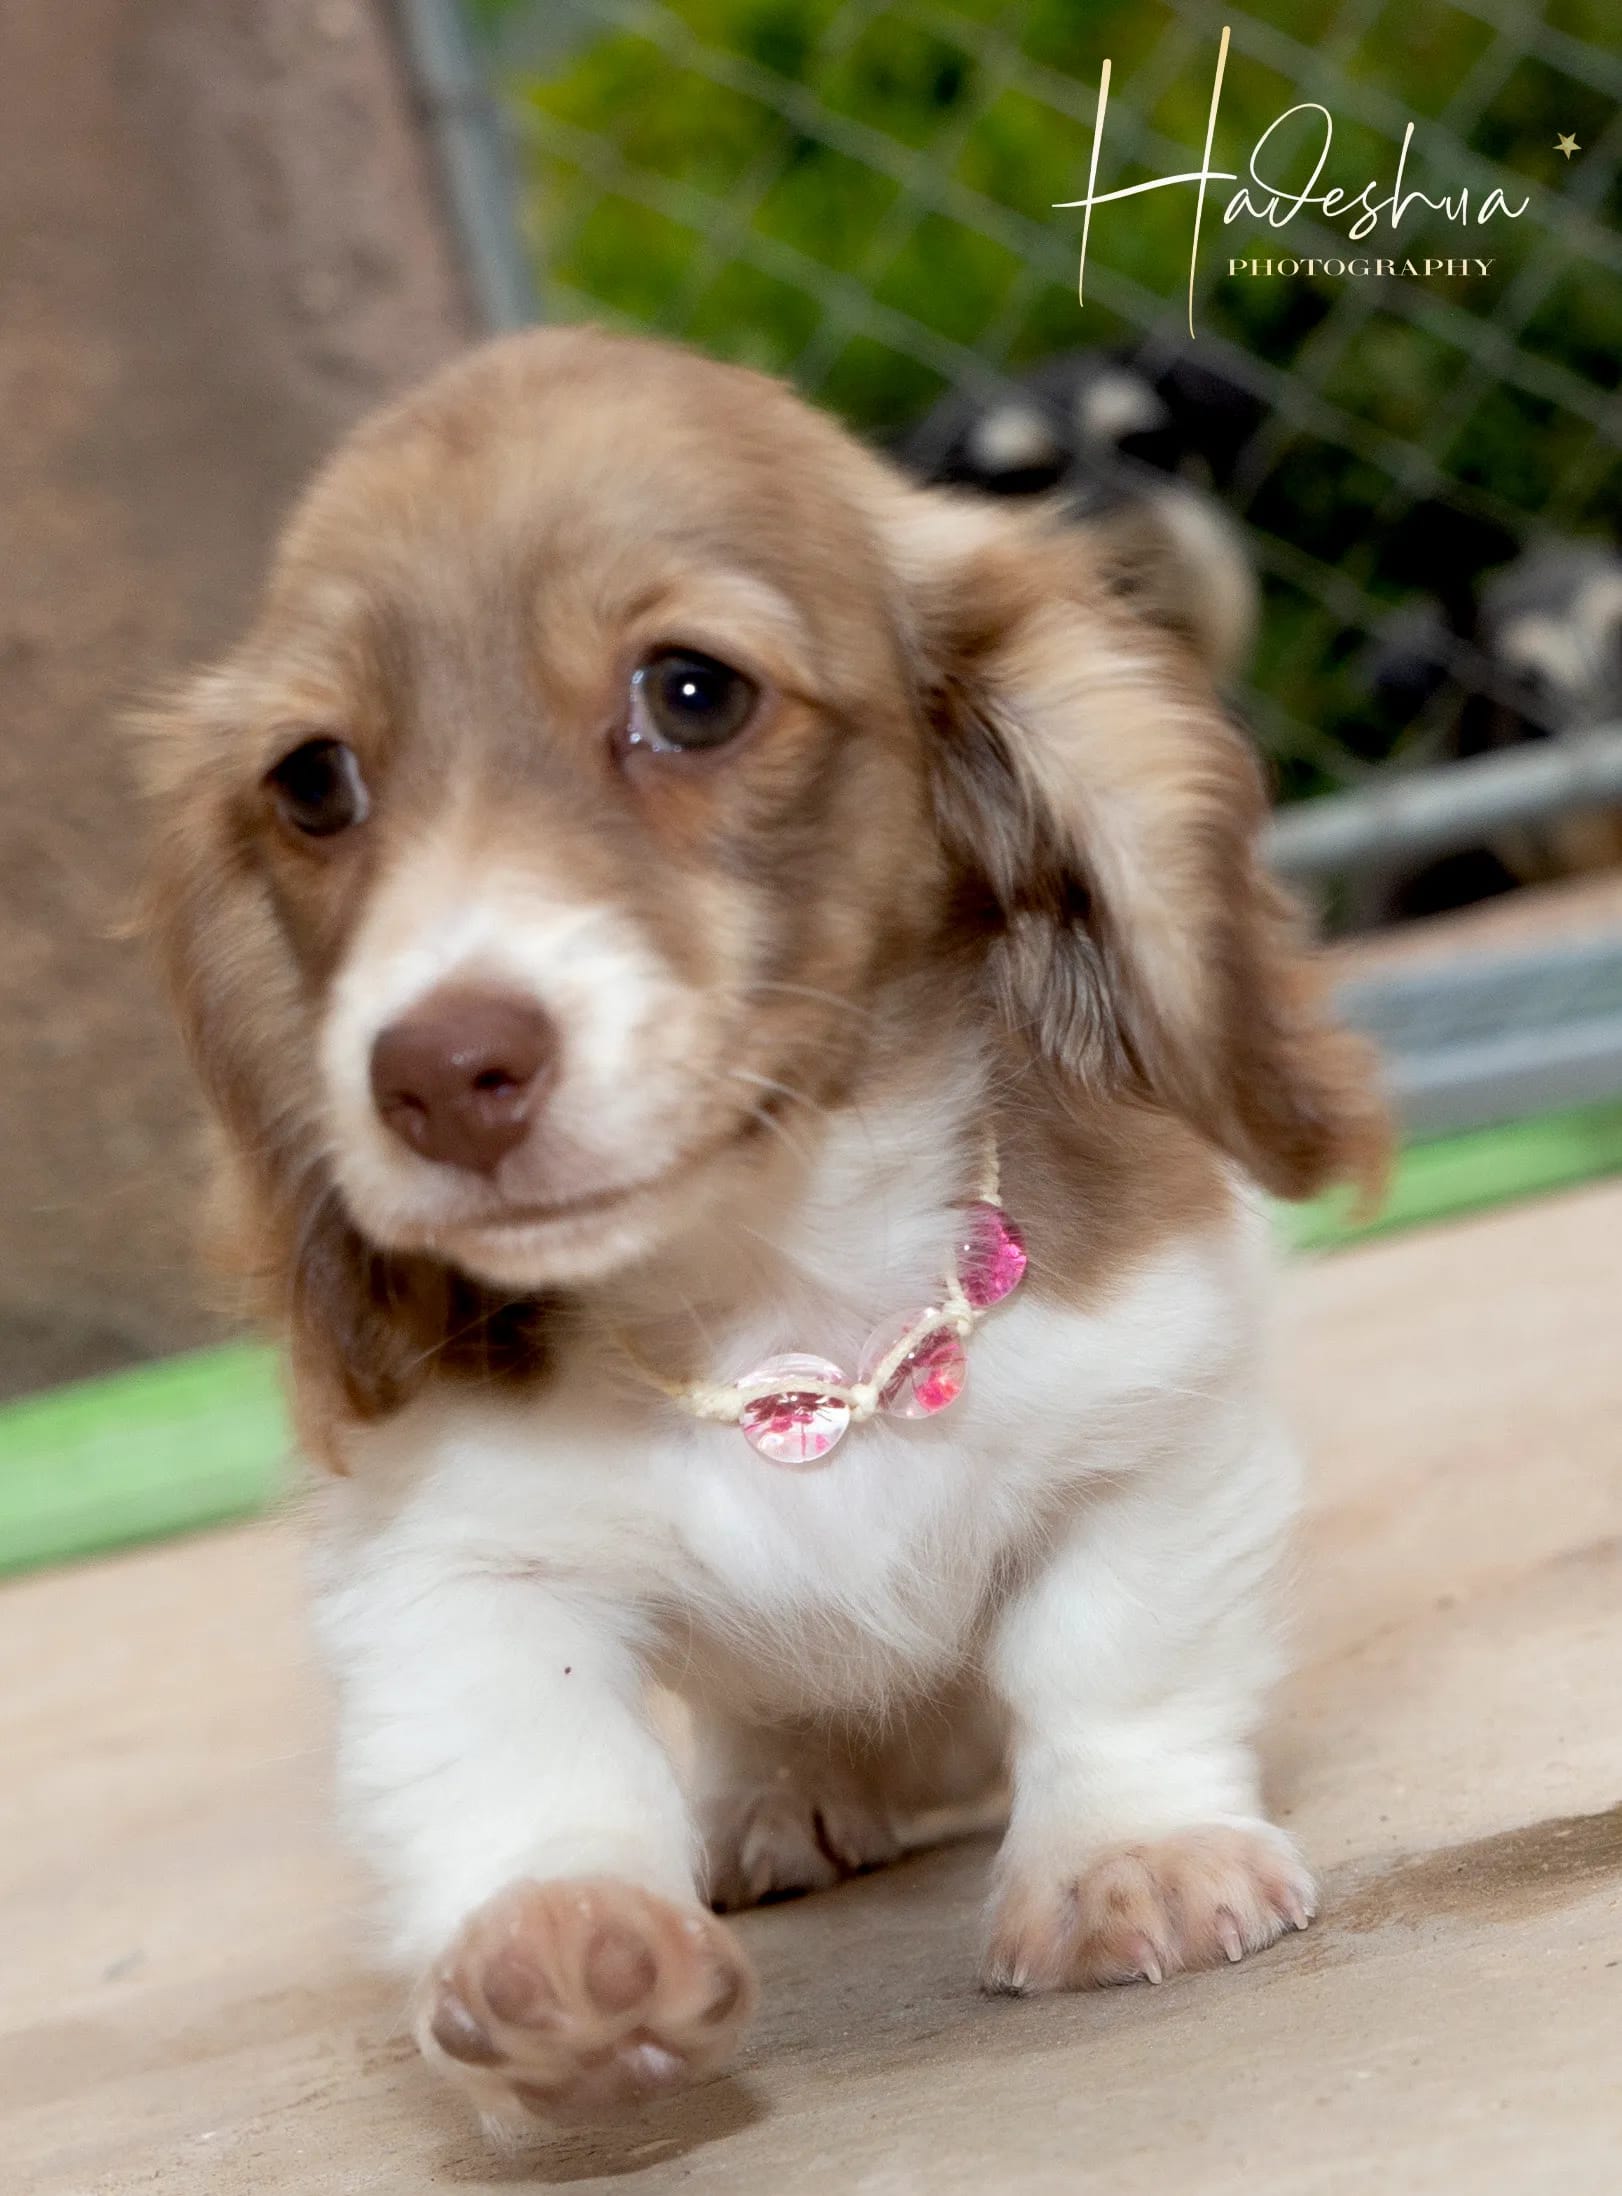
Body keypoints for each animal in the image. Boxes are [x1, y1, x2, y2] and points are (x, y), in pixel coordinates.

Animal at [143, 326, 1386, 2138]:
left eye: (690, 692)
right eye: (313, 782)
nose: (436, 1075)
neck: (768, 1288)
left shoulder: (1152, 1416)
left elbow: (1113, 1651)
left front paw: (1128, 1855)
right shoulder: (448, 1560)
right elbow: (515, 1749)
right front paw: (561, 1938)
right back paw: (777, 1799)